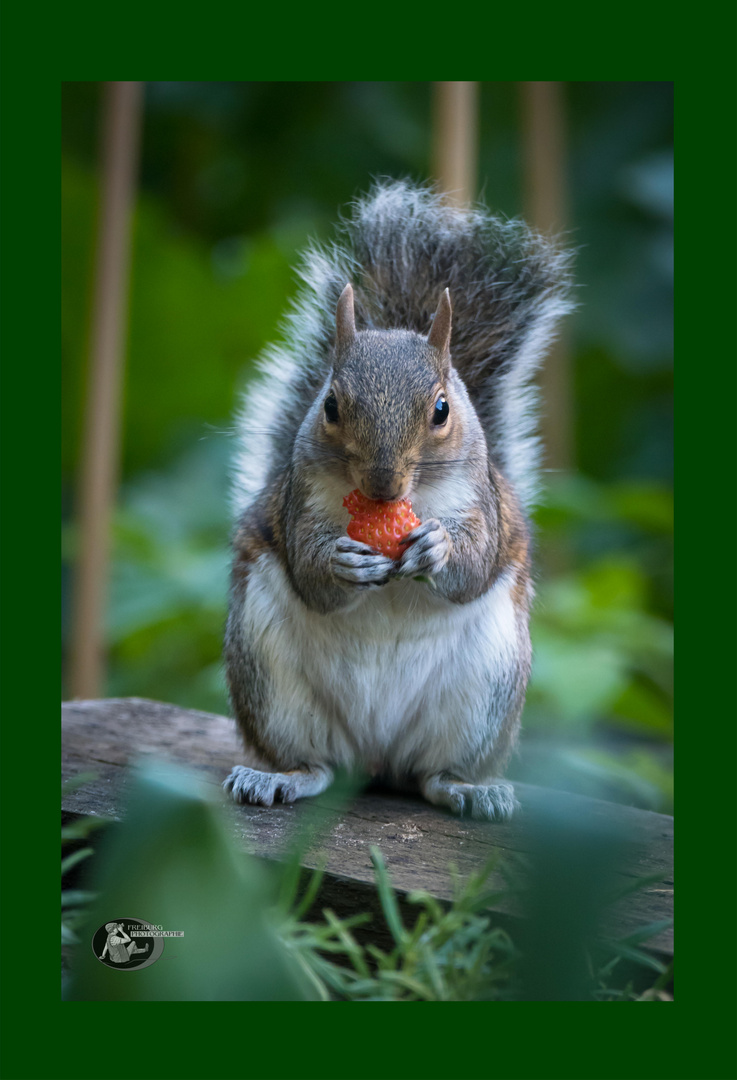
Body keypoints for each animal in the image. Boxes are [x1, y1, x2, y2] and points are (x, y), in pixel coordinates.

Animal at [221, 179, 570, 816]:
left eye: (442, 409)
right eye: (330, 404)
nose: (383, 486)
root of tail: (376, 758)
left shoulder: (482, 506)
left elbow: (473, 565)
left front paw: (437, 549)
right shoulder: (298, 502)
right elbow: (310, 574)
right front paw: (340, 562)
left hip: (483, 695)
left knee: (430, 776)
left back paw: (469, 790)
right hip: (271, 681)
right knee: (317, 764)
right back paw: (278, 778)